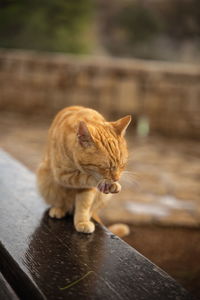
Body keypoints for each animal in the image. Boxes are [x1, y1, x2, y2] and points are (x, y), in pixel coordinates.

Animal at [36, 106, 131, 236]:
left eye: (122, 165)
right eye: (105, 167)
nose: (117, 178)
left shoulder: (86, 189)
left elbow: (84, 205)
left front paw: (82, 221)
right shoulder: (62, 174)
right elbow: (87, 178)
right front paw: (105, 183)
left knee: (90, 210)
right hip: (45, 178)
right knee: (61, 202)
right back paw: (58, 210)